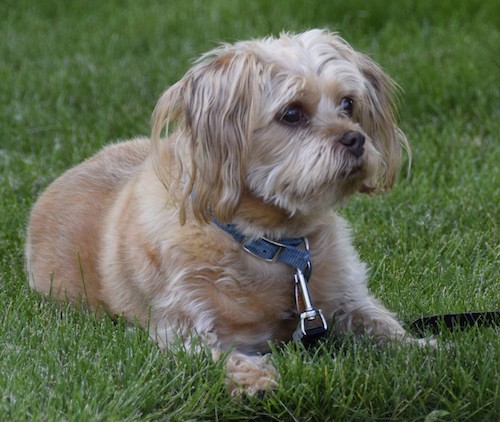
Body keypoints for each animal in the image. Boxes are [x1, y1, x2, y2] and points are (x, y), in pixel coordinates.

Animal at [25, 28, 420, 396]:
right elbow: (218, 355)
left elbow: (383, 325)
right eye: (292, 113)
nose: (356, 139)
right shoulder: (183, 328)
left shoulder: (346, 298)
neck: (270, 241)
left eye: (348, 104)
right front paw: (256, 379)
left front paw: (424, 350)